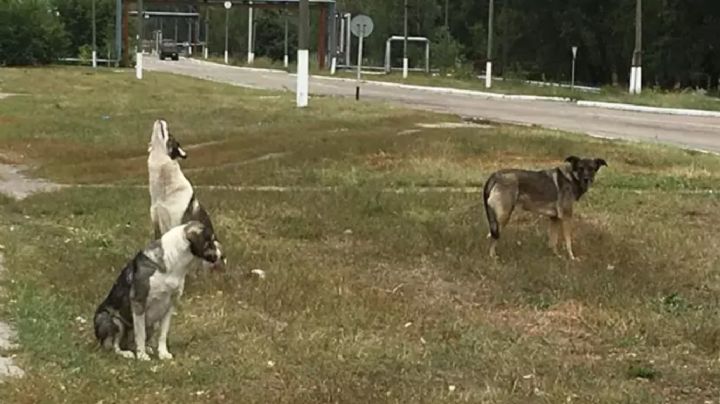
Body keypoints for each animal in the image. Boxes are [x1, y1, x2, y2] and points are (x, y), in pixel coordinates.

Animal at [93, 221, 222, 360]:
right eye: (210, 241)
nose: (222, 255)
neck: (174, 263)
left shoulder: (170, 305)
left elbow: (163, 334)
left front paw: (163, 353)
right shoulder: (139, 303)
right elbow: (140, 334)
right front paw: (142, 356)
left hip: (151, 323)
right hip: (113, 320)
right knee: (113, 345)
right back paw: (127, 353)